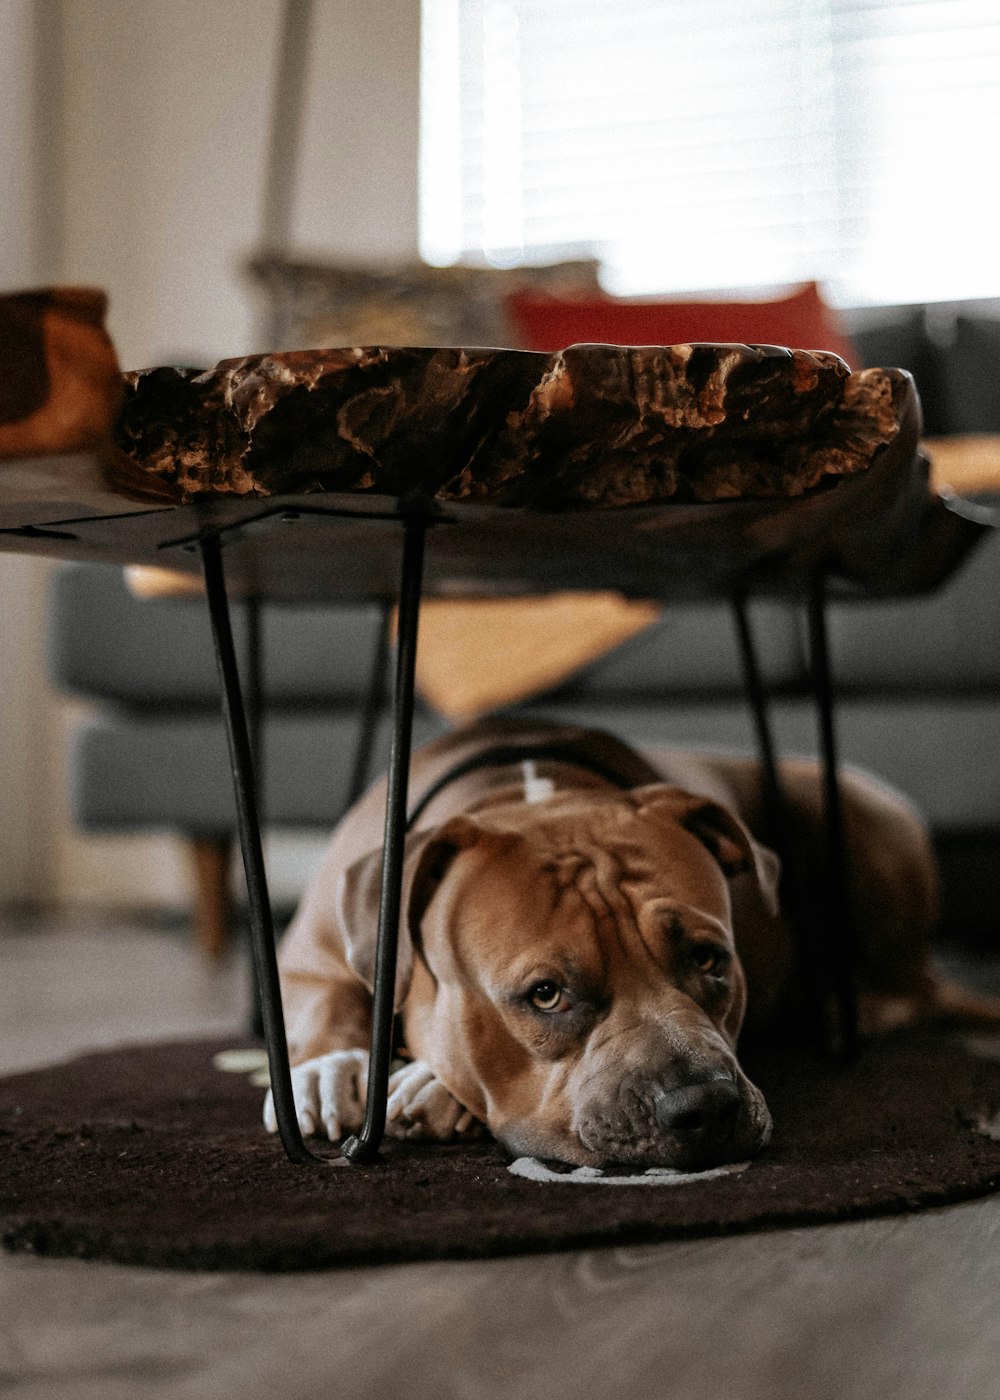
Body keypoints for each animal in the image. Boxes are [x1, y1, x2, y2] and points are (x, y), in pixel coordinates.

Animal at [264, 716, 997, 1164]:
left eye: (709, 959)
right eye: (546, 995)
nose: (706, 1105)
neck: (526, 795)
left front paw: (429, 1083)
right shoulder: (312, 953)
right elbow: (324, 999)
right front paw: (327, 1071)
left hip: (851, 809)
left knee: (912, 986)